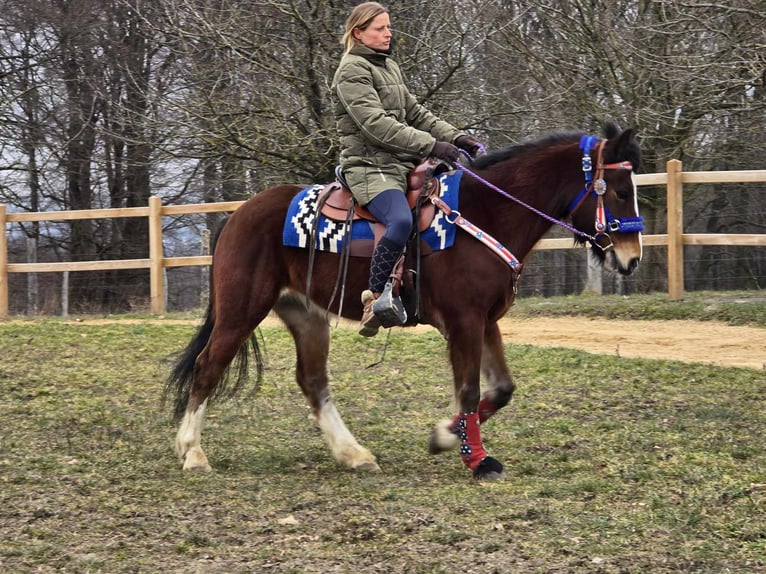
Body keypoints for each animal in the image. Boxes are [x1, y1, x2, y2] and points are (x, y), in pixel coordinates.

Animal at [165, 122, 644, 482]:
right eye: (620, 190)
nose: (631, 258)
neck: (485, 214)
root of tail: (238, 215)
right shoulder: (464, 321)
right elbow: (469, 390)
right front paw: (475, 458)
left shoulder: (486, 321)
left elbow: (501, 390)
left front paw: (445, 436)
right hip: (241, 311)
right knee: (208, 367)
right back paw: (192, 453)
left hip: (307, 317)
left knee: (313, 381)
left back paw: (353, 453)